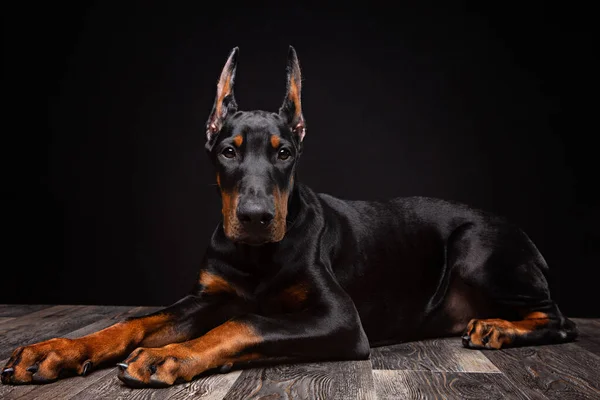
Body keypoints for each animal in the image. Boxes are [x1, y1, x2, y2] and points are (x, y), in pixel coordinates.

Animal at [2, 47, 580, 388]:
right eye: (228, 151)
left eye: (284, 153)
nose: (256, 217)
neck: (255, 255)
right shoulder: (206, 296)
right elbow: (135, 321)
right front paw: (55, 351)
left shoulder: (340, 319)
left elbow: (247, 322)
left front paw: (172, 355)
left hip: (476, 247)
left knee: (560, 319)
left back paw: (497, 329)